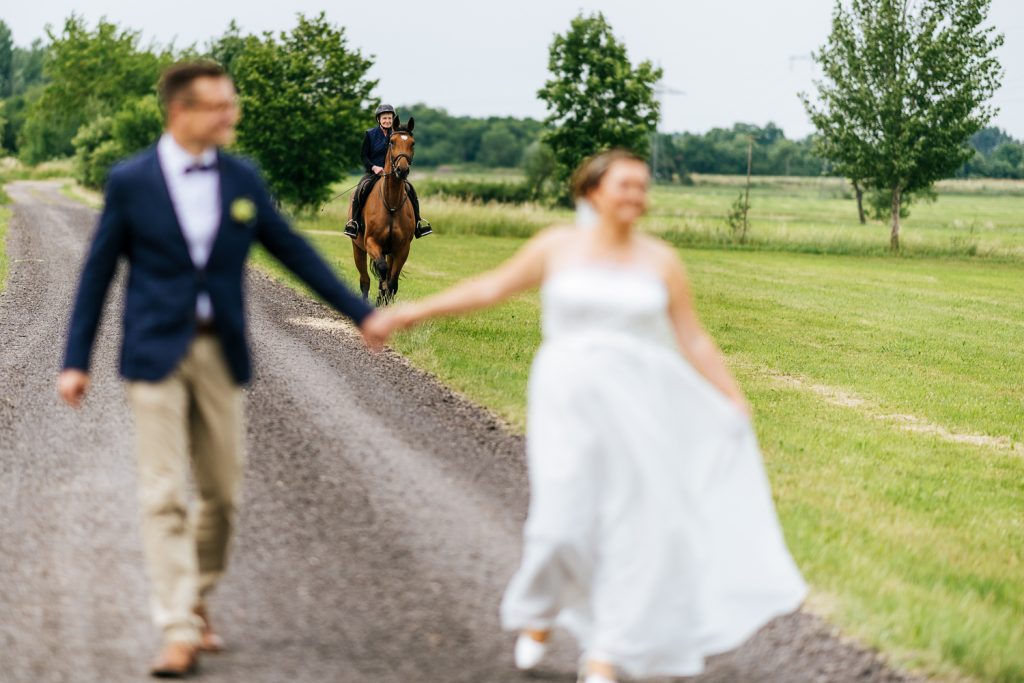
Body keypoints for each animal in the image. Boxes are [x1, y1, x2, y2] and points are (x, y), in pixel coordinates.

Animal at [352, 116, 415, 305]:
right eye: (392, 142)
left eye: (412, 143)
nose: (402, 170)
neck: (391, 203)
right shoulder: (371, 243)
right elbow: (382, 269)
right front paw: (380, 297)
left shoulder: (402, 248)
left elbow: (392, 282)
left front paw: (385, 299)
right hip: (358, 249)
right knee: (365, 279)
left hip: (390, 252)